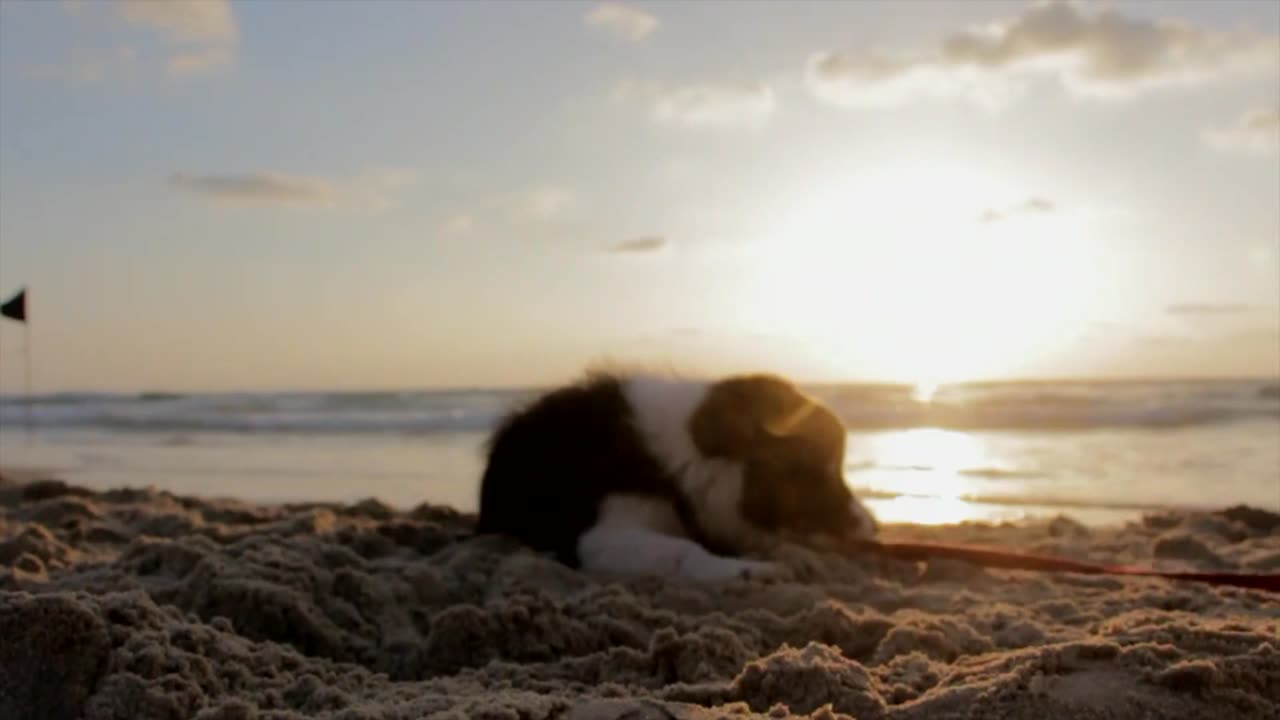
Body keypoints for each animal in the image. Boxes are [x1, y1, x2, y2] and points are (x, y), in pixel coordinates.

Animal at [476, 366, 875, 579]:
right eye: (817, 472)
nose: (873, 529)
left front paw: (793, 554)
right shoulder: (599, 536)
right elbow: (684, 550)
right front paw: (747, 571)